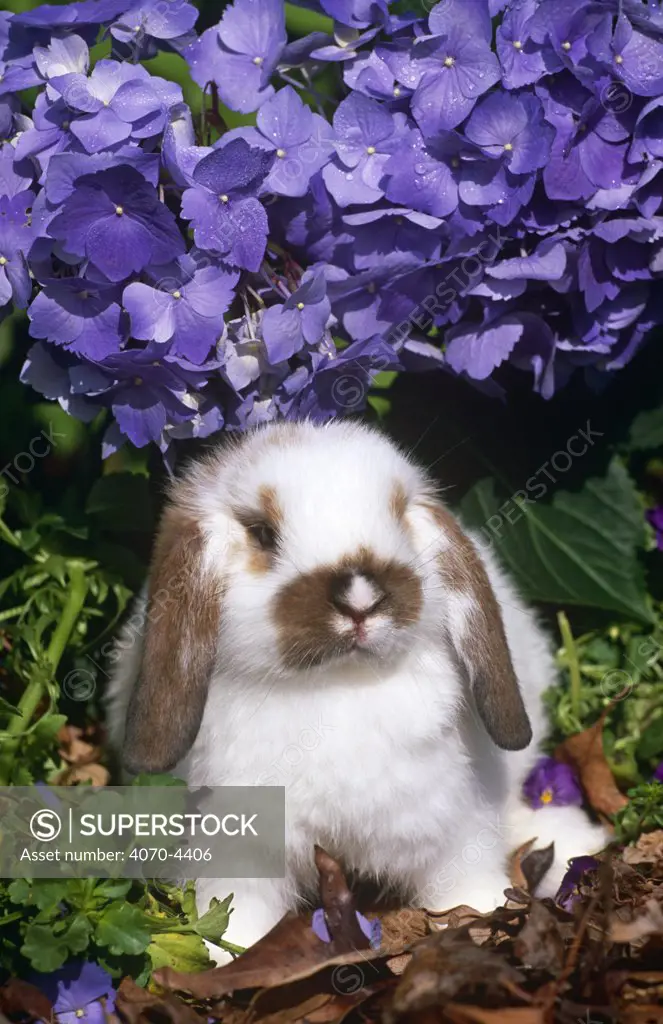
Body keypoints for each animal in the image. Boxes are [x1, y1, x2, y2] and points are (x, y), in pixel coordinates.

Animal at [106, 415, 610, 958]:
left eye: (398, 514)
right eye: (262, 532)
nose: (360, 598)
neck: (336, 687)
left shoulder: (451, 826)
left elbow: (465, 884)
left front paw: (486, 915)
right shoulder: (239, 847)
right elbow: (232, 911)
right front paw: (221, 956)